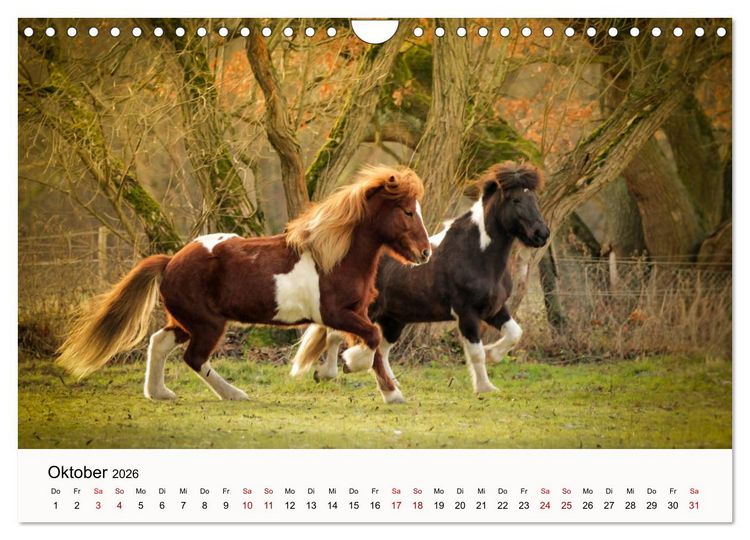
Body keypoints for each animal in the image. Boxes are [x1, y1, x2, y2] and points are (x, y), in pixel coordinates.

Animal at [57, 165, 432, 401]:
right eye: (407, 212)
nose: (425, 253)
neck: (335, 257)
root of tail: (171, 262)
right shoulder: (336, 312)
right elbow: (371, 339)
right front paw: (356, 368)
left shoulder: (350, 313)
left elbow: (361, 340)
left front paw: (386, 392)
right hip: (207, 324)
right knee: (194, 358)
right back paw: (235, 394)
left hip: (186, 321)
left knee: (159, 342)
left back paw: (160, 394)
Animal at [290, 162, 549, 403]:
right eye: (516, 200)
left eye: (535, 199)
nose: (542, 234)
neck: (477, 255)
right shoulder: (467, 313)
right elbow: (476, 353)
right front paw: (485, 387)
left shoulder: (494, 309)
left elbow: (515, 333)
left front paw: (493, 355)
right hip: (368, 313)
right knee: (338, 336)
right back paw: (333, 371)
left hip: (394, 320)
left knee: (378, 350)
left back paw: (387, 385)